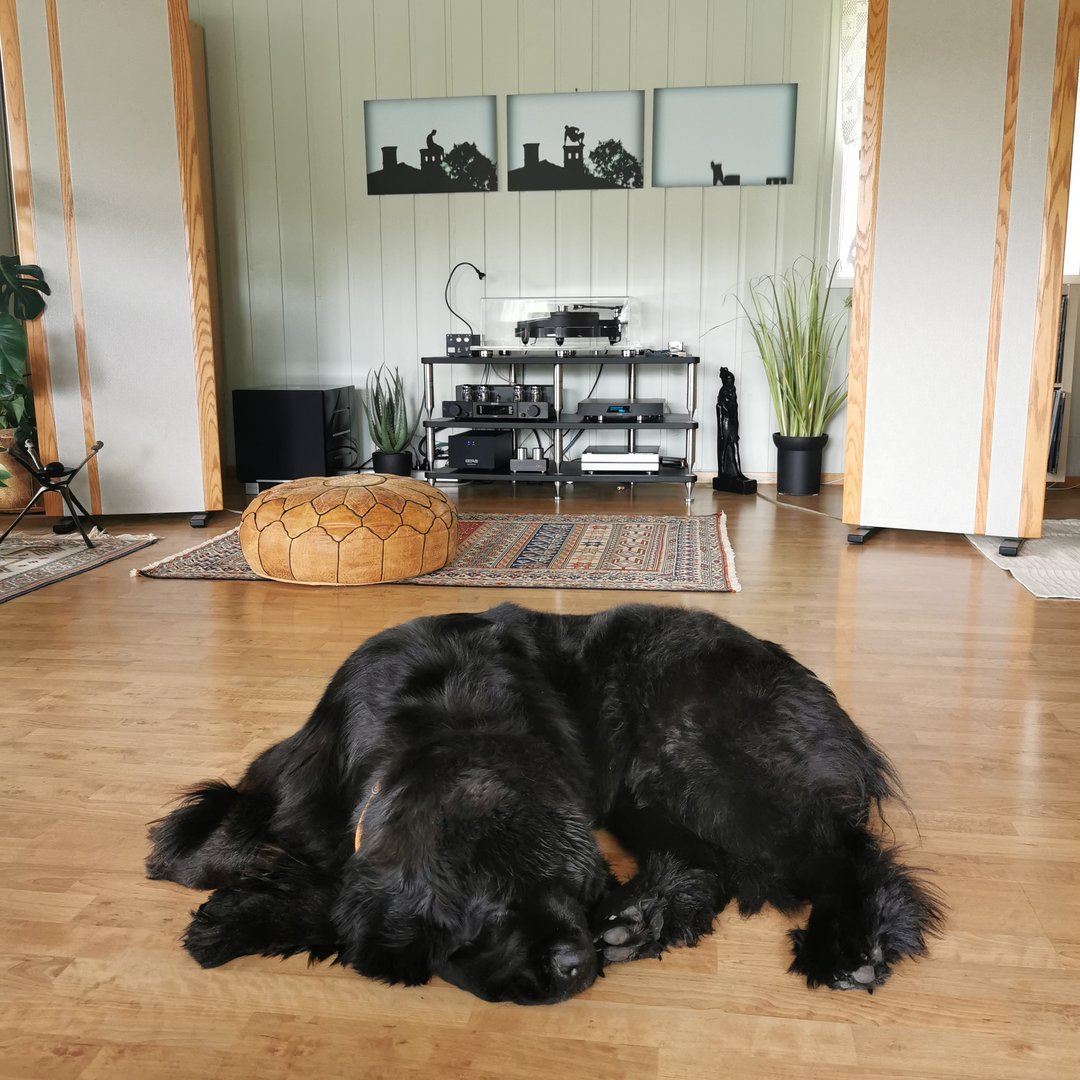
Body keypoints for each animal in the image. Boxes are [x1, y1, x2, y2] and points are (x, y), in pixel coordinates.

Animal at [146, 604, 942, 1005]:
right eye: (488, 914)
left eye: (571, 889)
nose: (575, 961)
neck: (444, 724)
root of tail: (810, 684)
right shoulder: (290, 774)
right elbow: (203, 843)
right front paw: (231, 882)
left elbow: (334, 897)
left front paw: (242, 916)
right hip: (648, 785)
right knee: (706, 860)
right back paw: (643, 919)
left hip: (702, 759)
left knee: (843, 853)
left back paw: (849, 945)